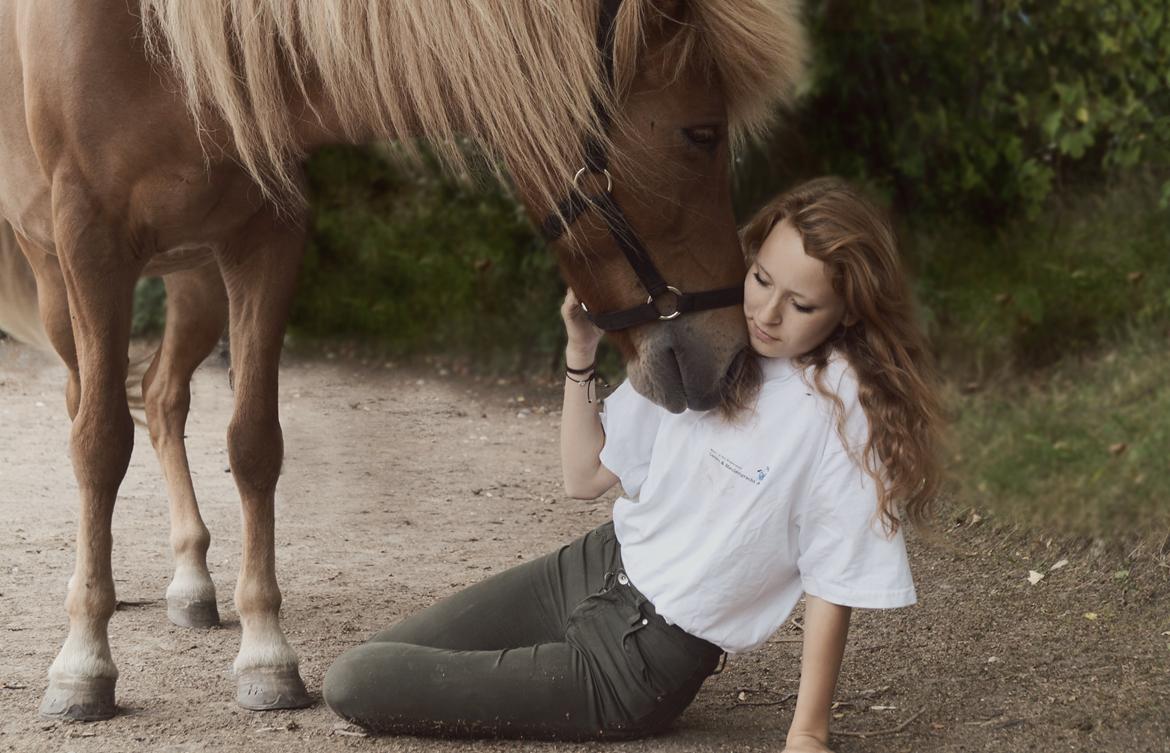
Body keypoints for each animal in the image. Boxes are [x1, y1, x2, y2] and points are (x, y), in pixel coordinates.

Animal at [0, 0, 804, 720]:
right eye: (701, 134)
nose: (733, 357)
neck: (163, 44)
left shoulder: (268, 236)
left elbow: (254, 444)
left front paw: (265, 653)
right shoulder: (91, 246)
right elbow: (100, 445)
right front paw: (81, 664)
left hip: (195, 280)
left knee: (165, 395)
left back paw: (193, 580)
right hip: (60, 286)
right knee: (91, 404)